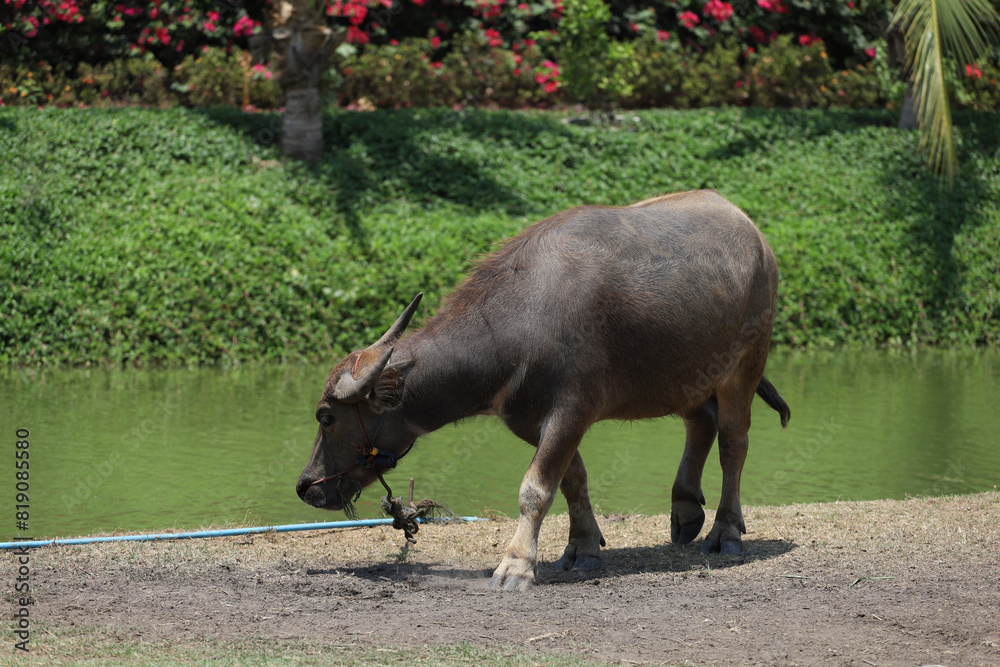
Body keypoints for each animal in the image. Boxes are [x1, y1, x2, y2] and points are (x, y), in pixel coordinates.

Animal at [297, 190, 790, 590]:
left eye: (327, 416)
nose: (306, 486)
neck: (518, 323)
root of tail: (756, 237)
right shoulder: (528, 418)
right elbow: (572, 479)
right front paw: (583, 546)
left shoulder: (573, 408)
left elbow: (535, 487)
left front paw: (516, 565)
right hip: (688, 374)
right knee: (701, 421)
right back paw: (685, 509)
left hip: (746, 364)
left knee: (734, 443)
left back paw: (726, 532)